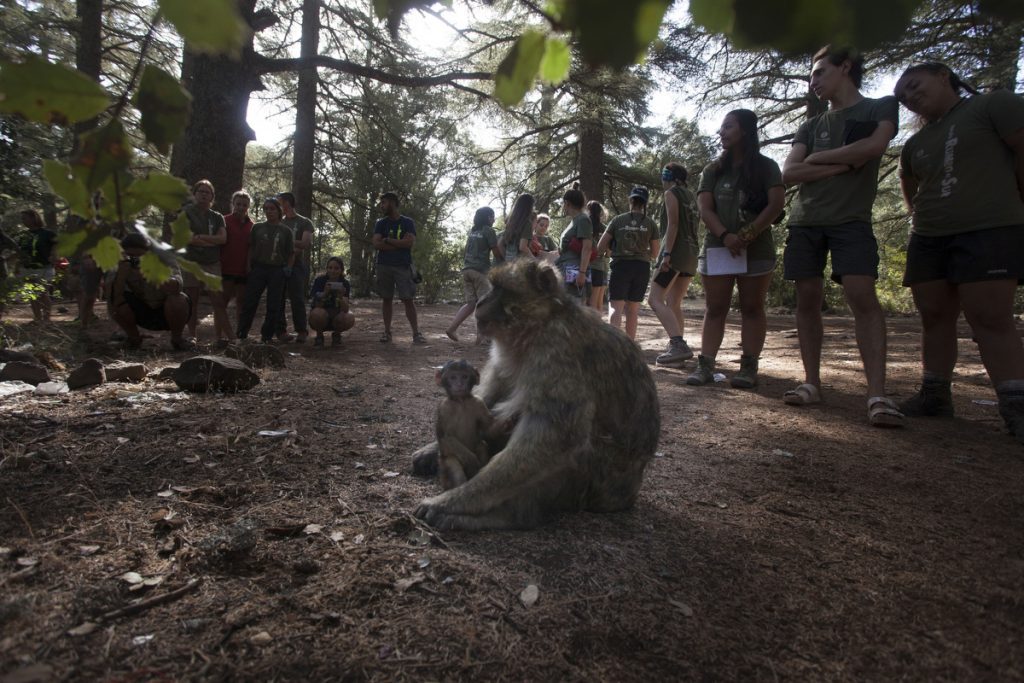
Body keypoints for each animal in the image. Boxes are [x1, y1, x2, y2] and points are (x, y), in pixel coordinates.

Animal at [434, 360, 493, 489]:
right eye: (453, 377)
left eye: (464, 377)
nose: (459, 384)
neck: (461, 402)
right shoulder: (445, 408)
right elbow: (447, 437)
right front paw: (472, 460)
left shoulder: (479, 402)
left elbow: (488, 427)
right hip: (445, 462)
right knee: (456, 470)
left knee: (481, 446)